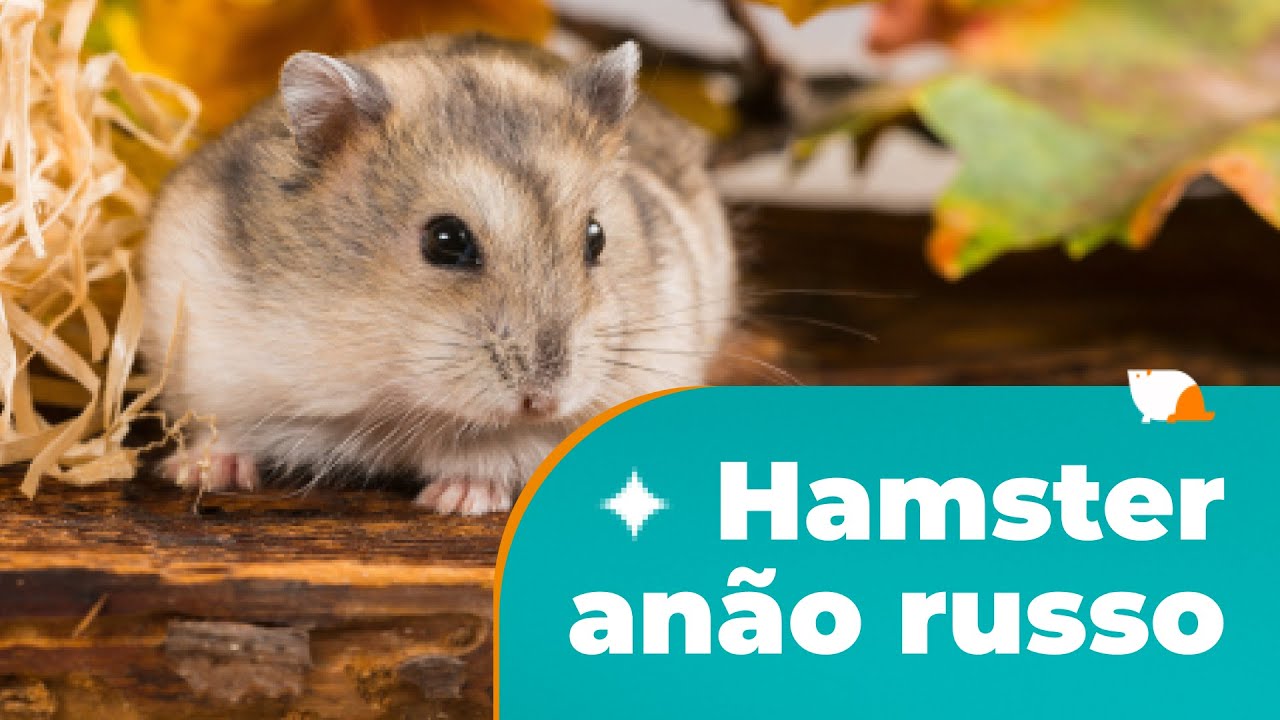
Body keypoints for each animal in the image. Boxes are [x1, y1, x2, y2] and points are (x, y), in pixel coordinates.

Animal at [140, 35, 736, 514]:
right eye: (445, 240)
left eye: (597, 238)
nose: (543, 400)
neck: (400, 396)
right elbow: (222, 427)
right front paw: (197, 473)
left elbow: (502, 449)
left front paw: (456, 500)